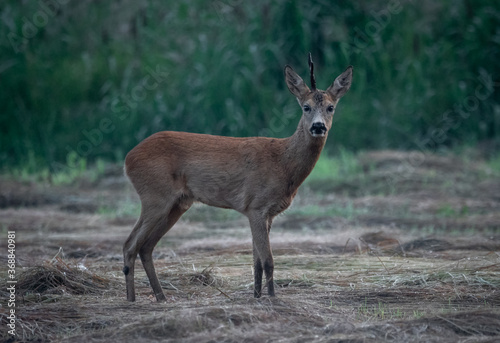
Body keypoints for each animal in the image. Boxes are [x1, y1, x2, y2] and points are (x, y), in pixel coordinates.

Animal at [123, 55, 354, 302]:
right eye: (306, 107)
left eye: (331, 107)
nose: (318, 127)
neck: (283, 163)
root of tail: (128, 159)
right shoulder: (256, 206)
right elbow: (268, 260)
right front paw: (273, 299)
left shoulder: (266, 213)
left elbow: (257, 262)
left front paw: (257, 296)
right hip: (155, 196)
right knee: (130, 244)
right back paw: (132, 299)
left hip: (178, 203)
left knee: (146, 246)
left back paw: (160, 297)